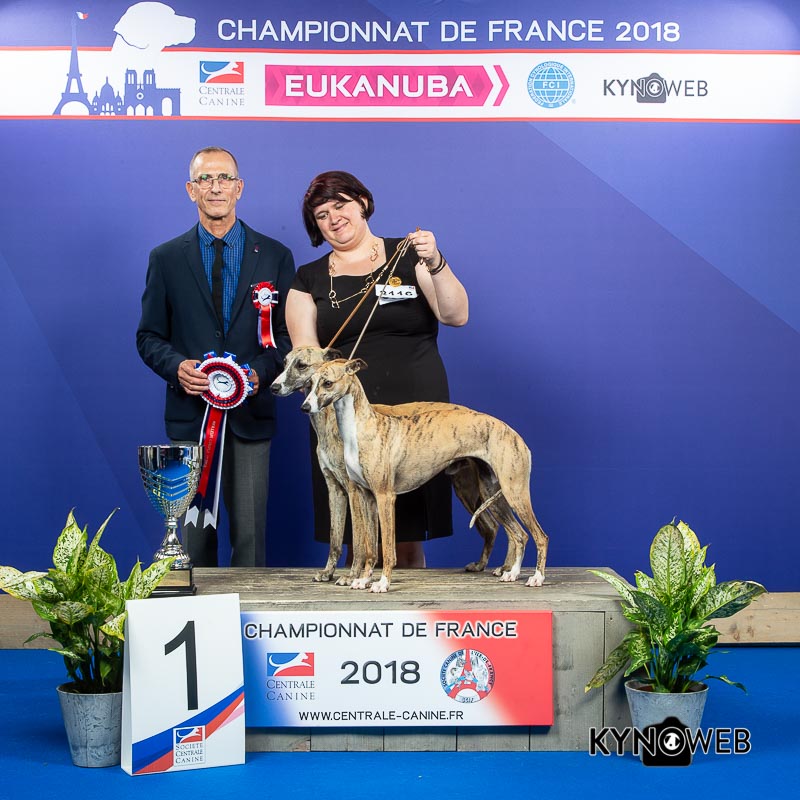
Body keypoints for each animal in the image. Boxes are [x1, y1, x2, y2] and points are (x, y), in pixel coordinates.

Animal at [271, 347, 519, 585]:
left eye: (302, 365)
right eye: (284, 362)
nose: (273, 387)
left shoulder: (353, 490)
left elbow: (360, 541)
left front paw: (352, 576)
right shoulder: (335, 489)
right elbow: (335, 538)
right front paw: (328, 572)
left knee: (507, 527)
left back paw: (507, 569)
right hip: (473, 490)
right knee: (495, 526)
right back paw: (488, 565)